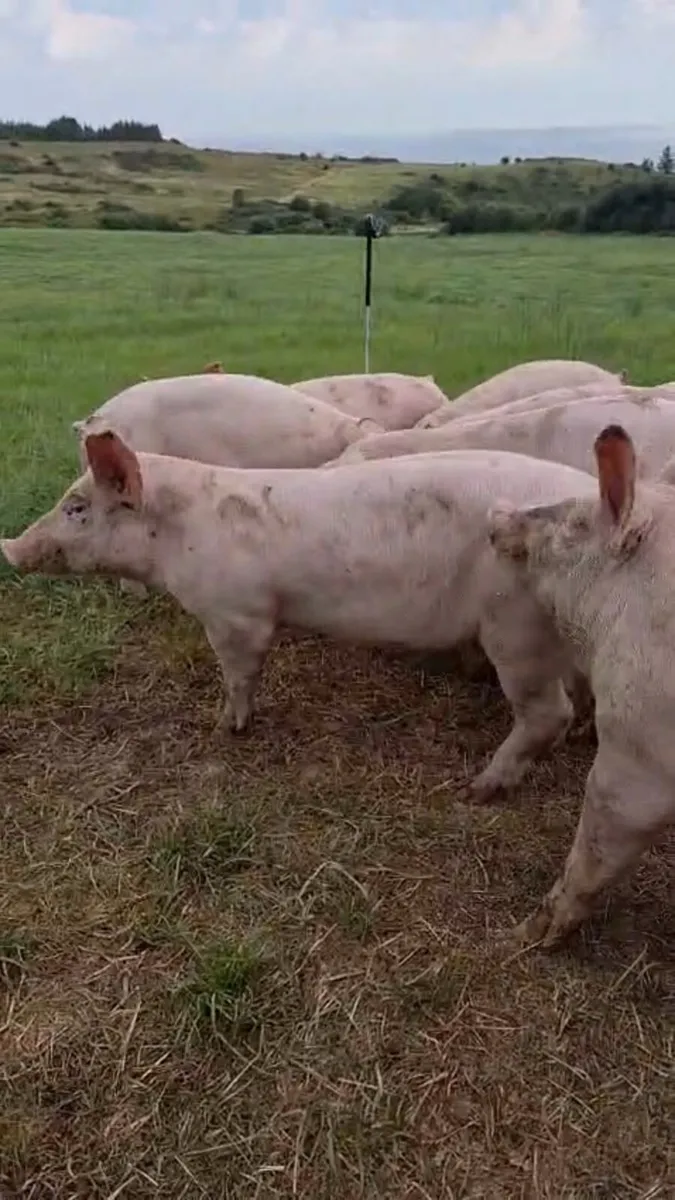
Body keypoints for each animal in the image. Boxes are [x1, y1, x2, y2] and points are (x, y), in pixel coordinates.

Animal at [1, 436, 600, 801]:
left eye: (77, 508)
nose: (9, 548)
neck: (175, 534)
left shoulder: (236, 613)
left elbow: (240, 673)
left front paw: (226, 728)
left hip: (516, 626)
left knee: (548, 712)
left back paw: (479, 789)